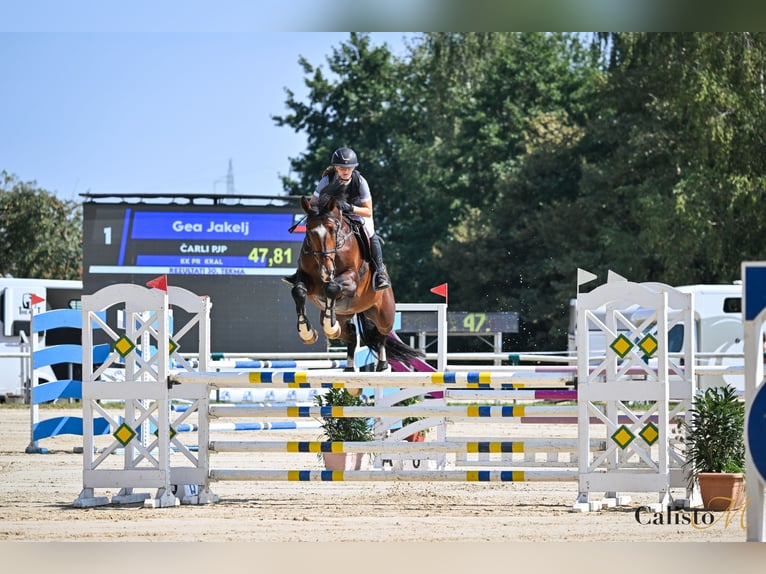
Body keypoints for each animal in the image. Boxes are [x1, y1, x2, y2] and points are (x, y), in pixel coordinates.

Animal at [290, 189, 424, 374]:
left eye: (332, 229)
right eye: (309, 232)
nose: (326, 271)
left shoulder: (351, 279)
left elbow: (331, 287)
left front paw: (328, 324)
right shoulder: (307, 280)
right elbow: (298, 291)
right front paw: (306, 332)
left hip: (384, 313)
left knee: (381, 334)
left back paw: (382, 365)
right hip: (343, 315)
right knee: (351, 333)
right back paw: (348, 365)